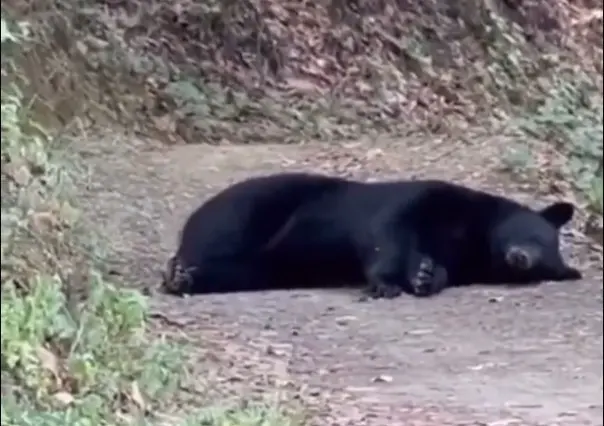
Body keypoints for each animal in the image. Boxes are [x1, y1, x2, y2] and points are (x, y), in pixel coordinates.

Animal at [159, 171, 580, 298]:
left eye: (543, 265)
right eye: (537, 236)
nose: (521, 258)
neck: (475, 236)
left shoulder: (462, 259)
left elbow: (438, 265)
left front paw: (425, 275)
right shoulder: (431, 199)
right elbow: (387, 230)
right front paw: (387, 282)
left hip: (271, 268)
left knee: (241, 271)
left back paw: (186, 278)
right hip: (253, 208)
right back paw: (179, 270)